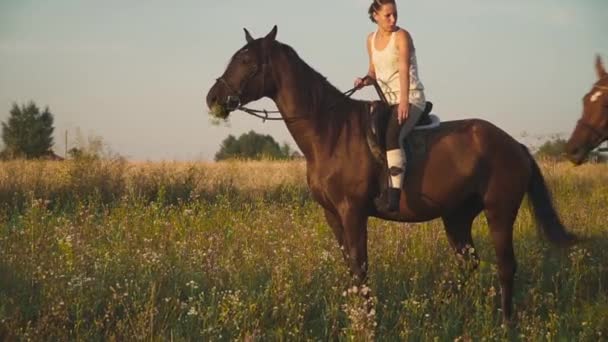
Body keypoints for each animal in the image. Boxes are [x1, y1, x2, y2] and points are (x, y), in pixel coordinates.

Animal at [204, 26, 576, 320]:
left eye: (246, 62)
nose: (213, 98)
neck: (330, 130)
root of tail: (515, 145)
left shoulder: (353, 212)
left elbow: (360, 267)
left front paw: (367, 320)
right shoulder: (332, 215)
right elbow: (351, 267)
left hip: (500, 212)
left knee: (505, 266)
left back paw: (505, 322)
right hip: (456, 216)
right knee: (469, 263)